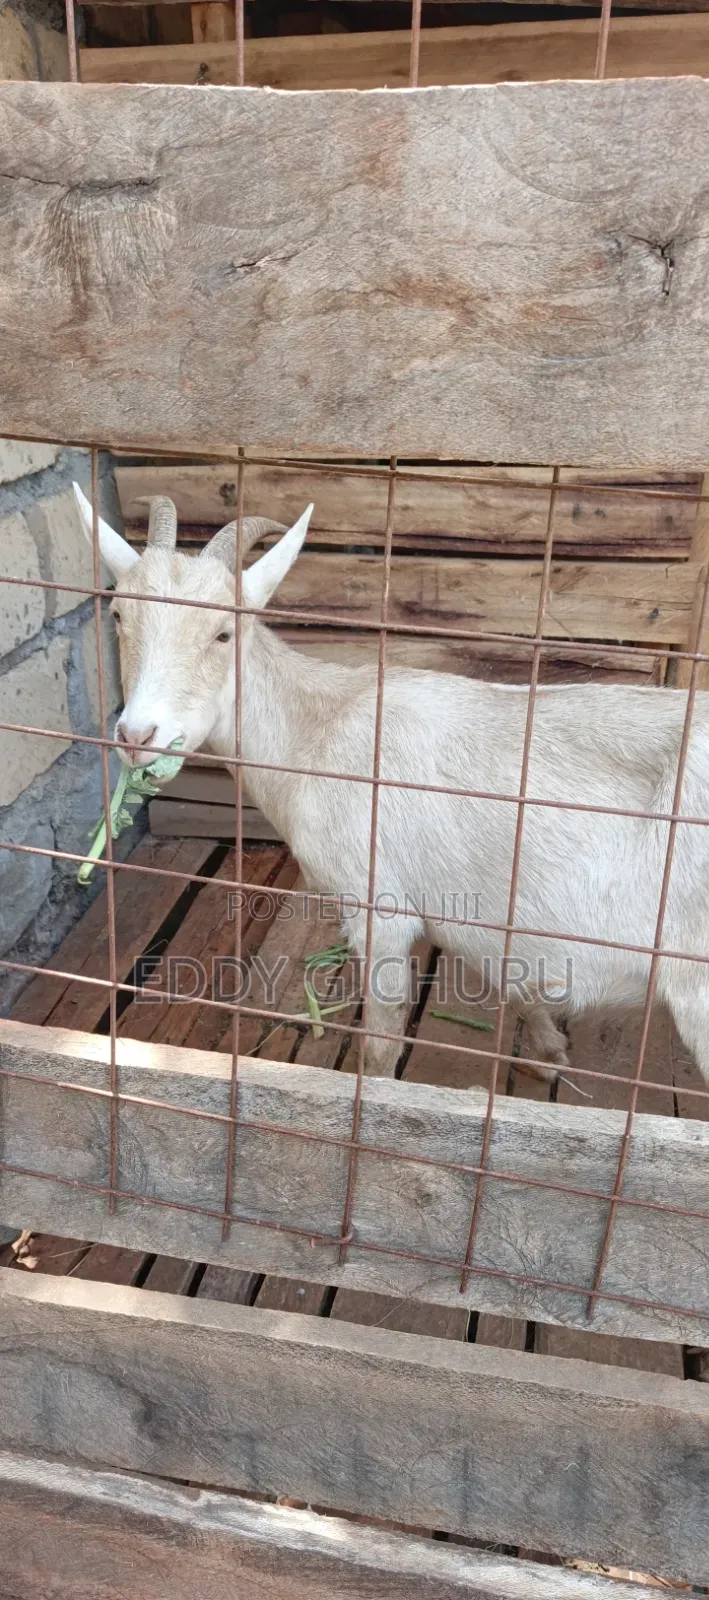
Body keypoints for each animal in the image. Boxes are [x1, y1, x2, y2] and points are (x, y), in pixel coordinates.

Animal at [74, 482, 709, 1087]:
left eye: (224, 634)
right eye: (119, 617)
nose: (138, 734)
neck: (318, 729)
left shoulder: (379, 904)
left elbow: (381, 1040)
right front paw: (548, 1053)